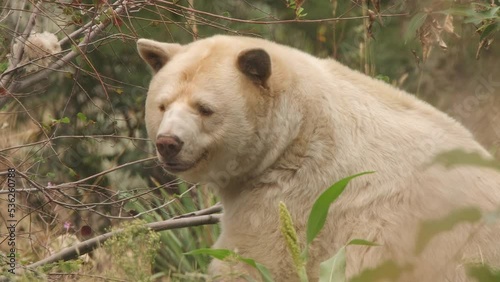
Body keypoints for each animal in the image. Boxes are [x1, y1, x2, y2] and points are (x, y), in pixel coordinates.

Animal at [137, 35, 500, 282]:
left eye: (205, 109)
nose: (168, 143)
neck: (295, 130)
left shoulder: (298, 191)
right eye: (162, 105)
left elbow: (257, 260)